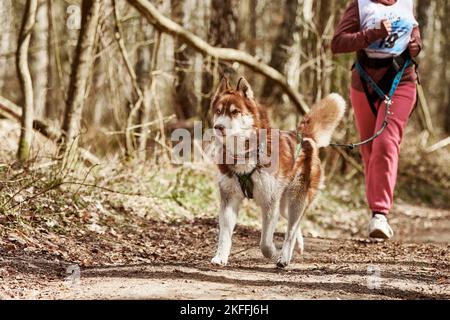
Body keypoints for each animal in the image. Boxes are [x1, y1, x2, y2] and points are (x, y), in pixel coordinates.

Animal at [210, 77, 344, 268]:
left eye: (235, 112)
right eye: (218, 111)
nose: (218, 126)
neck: (246, 154)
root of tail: (302, 137)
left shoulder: (269, 203)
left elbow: (265, 243)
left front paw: (273, 253)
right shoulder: (229, 198)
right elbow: (224, 236)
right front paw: (220, 257)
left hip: (296, 200)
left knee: (291, 230)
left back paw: (284, 257)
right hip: (284, 205)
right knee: (294, 225)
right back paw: (298, 245)